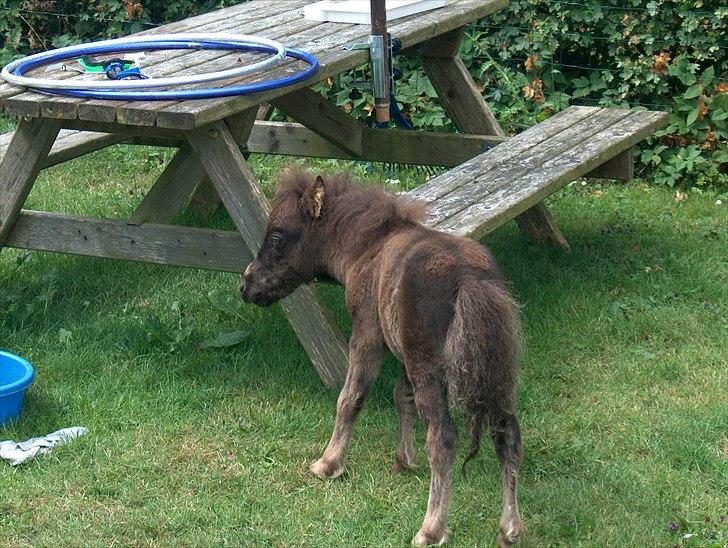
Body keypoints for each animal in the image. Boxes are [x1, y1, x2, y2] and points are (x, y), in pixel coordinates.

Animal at [243, 169, 524, 544]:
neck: (367, 248)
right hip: (497, 373)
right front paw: (404, 460)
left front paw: (328, 464)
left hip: (431, 368)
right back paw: (510, 528)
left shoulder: (367, 334)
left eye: (277, 235)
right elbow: (400, 395)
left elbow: (350, 398)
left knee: (443, 438)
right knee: (507, 435)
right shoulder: (402, 350)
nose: (246, 285)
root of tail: (470, 279)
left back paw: (430, 529)